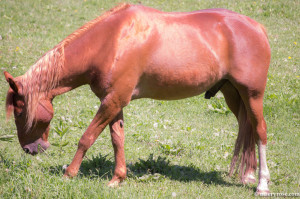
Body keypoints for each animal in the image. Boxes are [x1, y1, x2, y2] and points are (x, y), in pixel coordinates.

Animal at [4, 3, 272, 194]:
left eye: (20, 111)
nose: (30, 149)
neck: (112, 41)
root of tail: (259, 28)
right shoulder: (115, 102)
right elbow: (117, 139)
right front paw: (117, 178)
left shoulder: (112, 101)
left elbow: (86, 138)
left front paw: (69, 173)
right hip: (234, 95)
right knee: (247, 129)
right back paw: (248, 175)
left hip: (253, 95)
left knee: (260, 131)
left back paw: (262, 184)